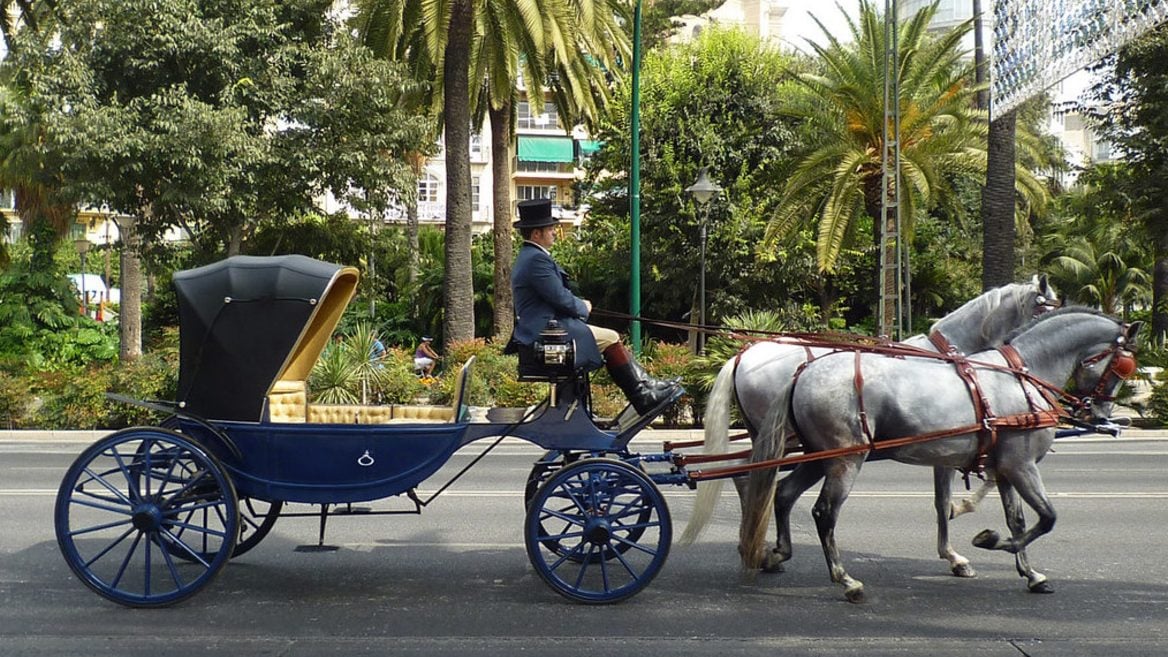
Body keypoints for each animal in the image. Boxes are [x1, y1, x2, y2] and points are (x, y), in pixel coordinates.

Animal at [682, 275, 1060, 577]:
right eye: (1046, 307)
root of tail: (741, 356)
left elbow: (958, 494)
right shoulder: (953, 445)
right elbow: (945, 501)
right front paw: (955, 549)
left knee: (747, 474)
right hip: (783, 439)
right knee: (751, 476)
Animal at [728, 306, 1139, 598]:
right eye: (1122, 366)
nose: (1102, 414)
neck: (1020, 376)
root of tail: (803, 372)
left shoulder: (1007, 467)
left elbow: (1019, 521)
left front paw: (1030, 573)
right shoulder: (1022, 466)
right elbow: (1047, 518)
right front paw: (990, 542)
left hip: (818, 456)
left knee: (783, 494)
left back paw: (777, 552)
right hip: (846, 458)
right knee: (823, 512)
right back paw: (845, 580)